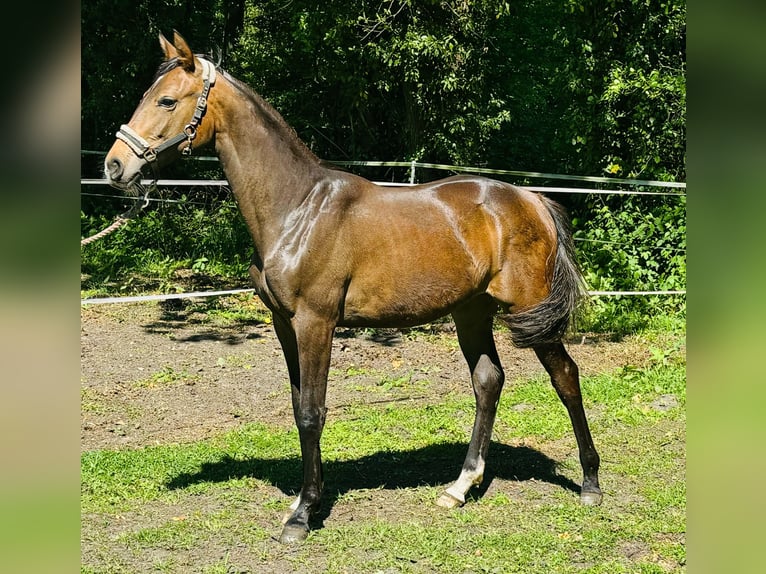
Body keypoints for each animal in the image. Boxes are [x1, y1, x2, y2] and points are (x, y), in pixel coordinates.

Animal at [105, 31, 604, 544]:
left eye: (167, 101)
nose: (115, 166)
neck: (296, 209)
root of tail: (533, 199)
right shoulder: (284, 324)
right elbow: (297, 405)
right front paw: (302, 499)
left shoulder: (316, 323)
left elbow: (313, 410)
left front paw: (303, 515)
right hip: (471, 312)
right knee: (488, 380)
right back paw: (460, 487)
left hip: (529, 310)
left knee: (566, 377)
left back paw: (589, 482)